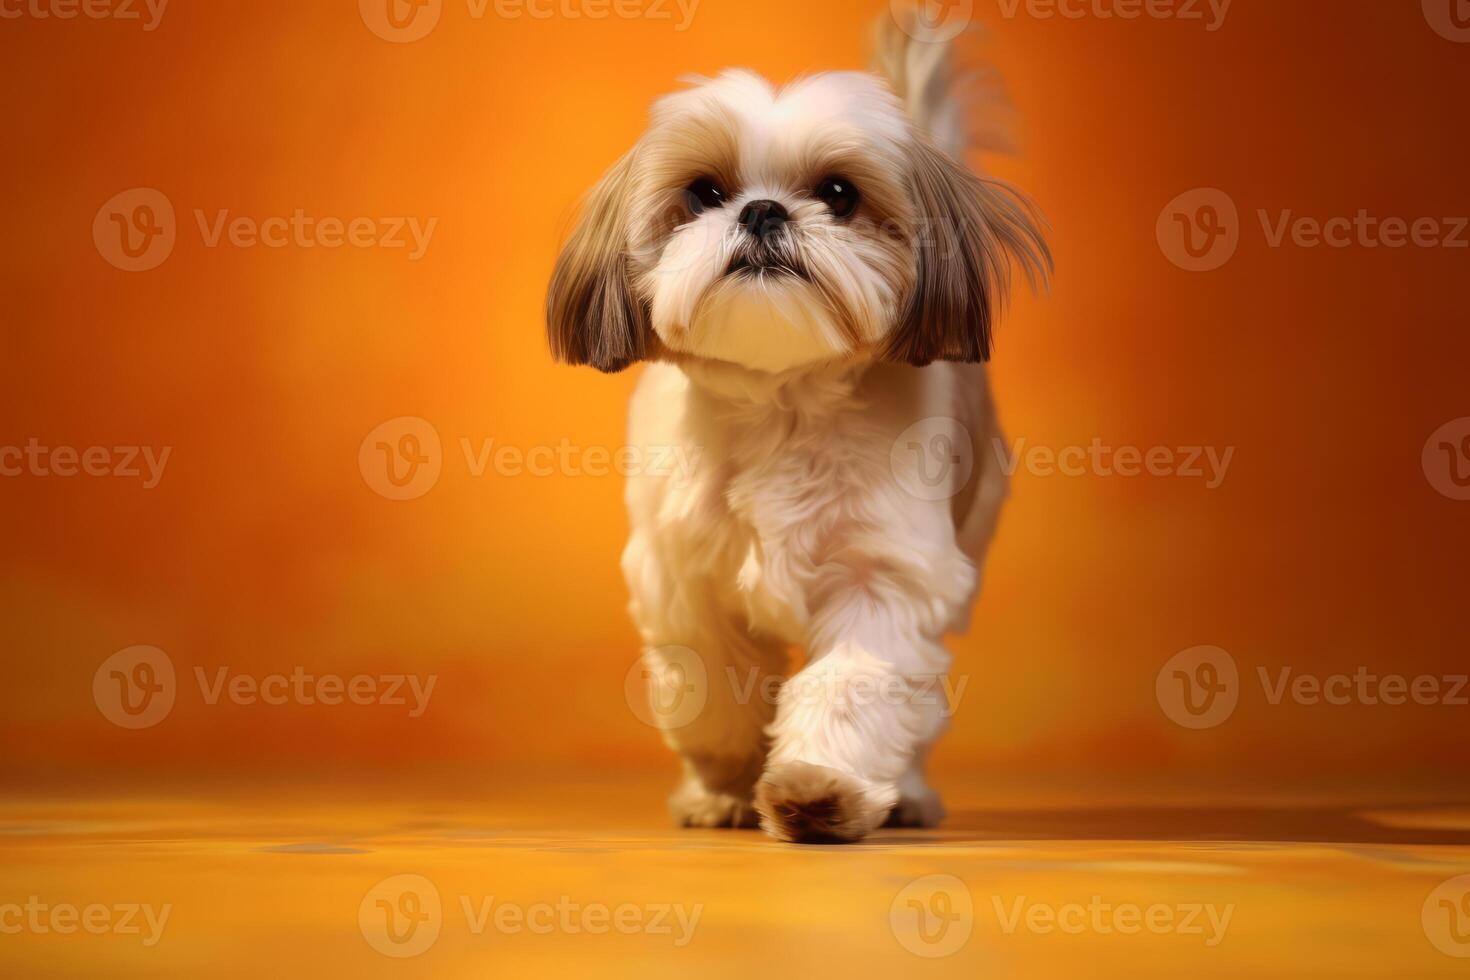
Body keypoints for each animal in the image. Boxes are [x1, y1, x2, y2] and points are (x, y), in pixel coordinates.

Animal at [549, 7, 1046, 846]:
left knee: (919, 708)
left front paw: (819, 789)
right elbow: (712, 692)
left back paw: (904, 793)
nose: (762, 209)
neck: (781, 404)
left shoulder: (887, 575)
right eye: (704, 192)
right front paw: (725, 784)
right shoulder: (681, 580)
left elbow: (853, 684)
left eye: (839, 194)